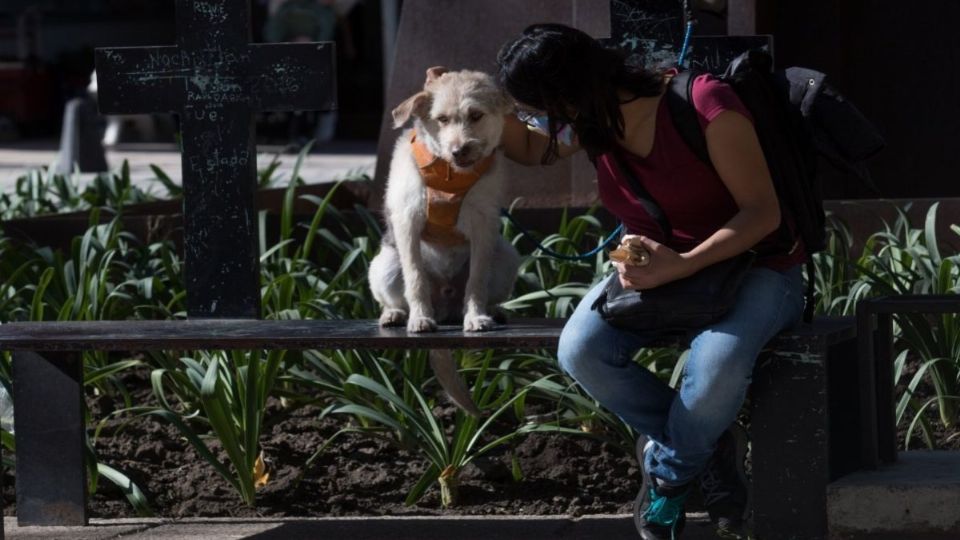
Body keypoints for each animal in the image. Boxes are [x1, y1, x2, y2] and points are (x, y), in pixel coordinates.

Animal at [370, 68, 520, 336]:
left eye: (476, 115)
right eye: (441, 119)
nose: (459, 150)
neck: (448, 174)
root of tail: (445, 306)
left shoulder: (484, 225)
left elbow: (477, 279)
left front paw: (476, 316)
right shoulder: (408, 221)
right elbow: (415, 277)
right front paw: (420, 317)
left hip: (507, 255)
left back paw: (493, 311)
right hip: (383, 265)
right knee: (394, 298)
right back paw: (394, 314)